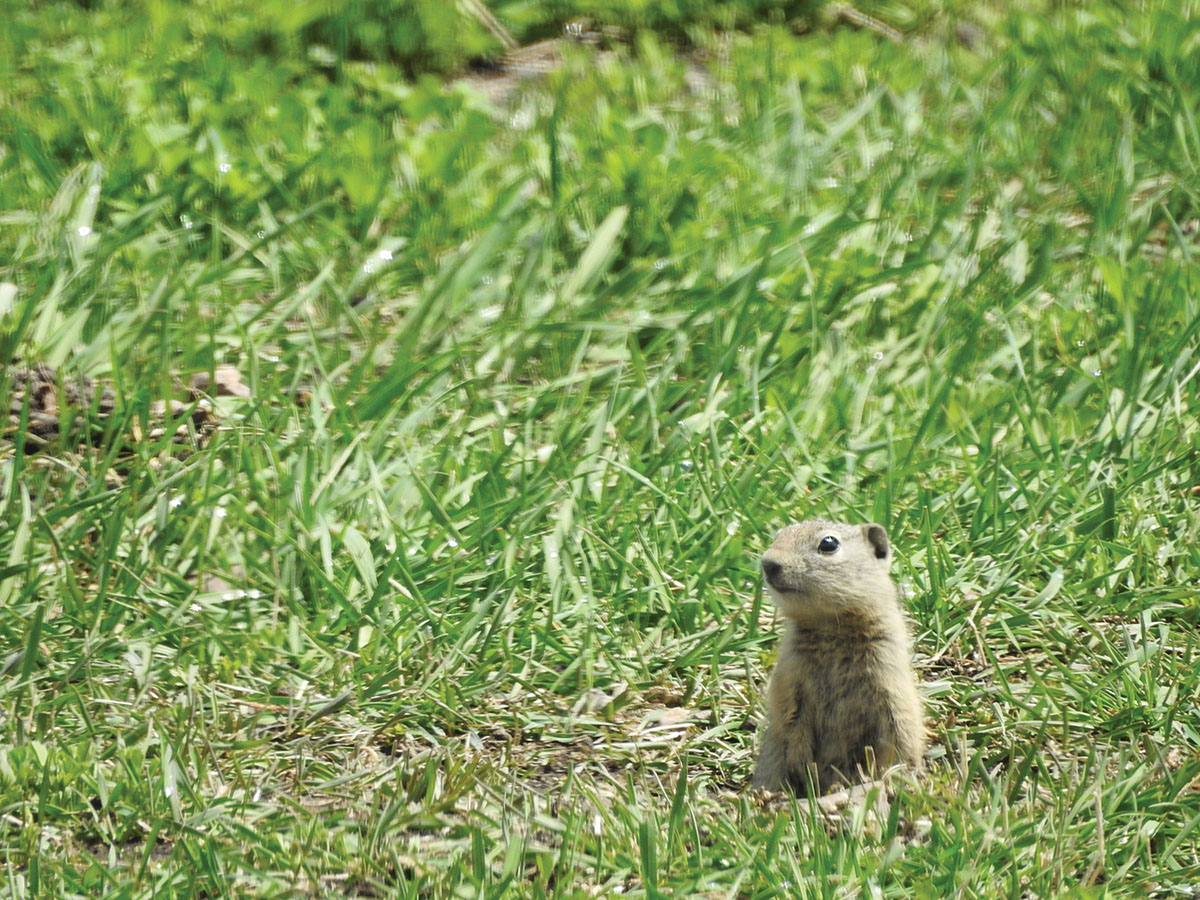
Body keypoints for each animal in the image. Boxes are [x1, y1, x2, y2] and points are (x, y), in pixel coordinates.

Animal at [751, 519, 926, 794]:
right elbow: (790, 720)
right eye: (778, 535)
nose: (768, 563)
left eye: (829, 543)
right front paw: (803, 769)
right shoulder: (790, 679)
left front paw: (899, 775)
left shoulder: (889, 678)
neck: (830, 626)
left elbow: (901, 729)